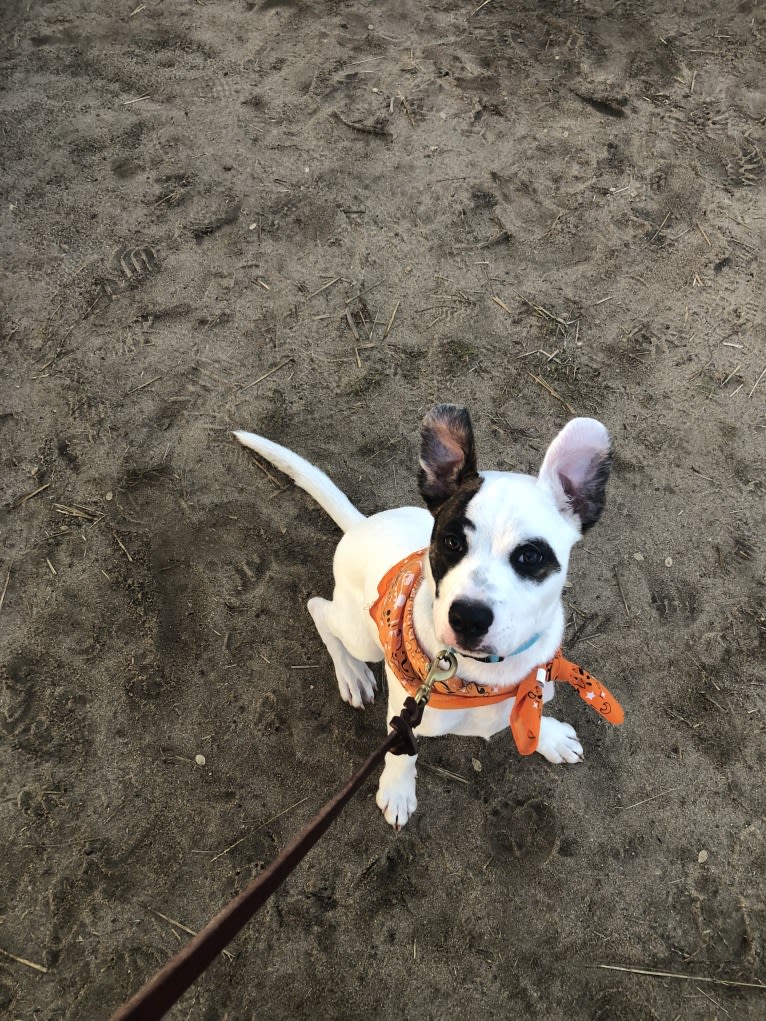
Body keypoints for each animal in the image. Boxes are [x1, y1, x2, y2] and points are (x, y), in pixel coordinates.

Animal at [235, 406, 625, 829]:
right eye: (452, 542)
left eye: (530, 555)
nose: (468, 618)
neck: (485, 679)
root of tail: (360, 524)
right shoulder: (404, 716)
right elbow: (401, 752)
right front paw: (397, 789)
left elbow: (530, 717)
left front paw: (549, 737)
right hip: (361, 634)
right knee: (319, 609)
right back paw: (351, 673)